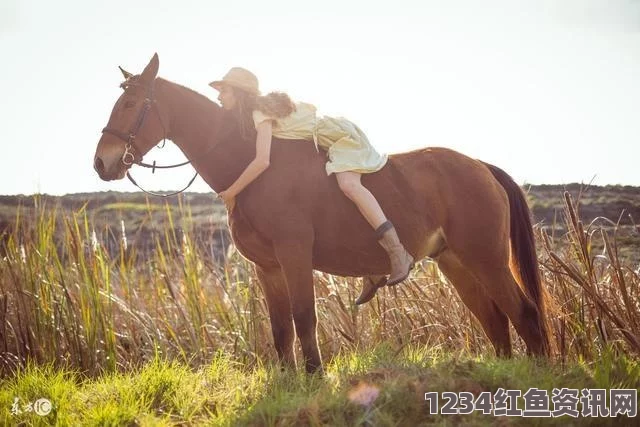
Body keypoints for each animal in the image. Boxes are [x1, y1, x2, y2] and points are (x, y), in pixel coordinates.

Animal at [94, 54, 552, 374]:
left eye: (131, 102)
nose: (102, 162)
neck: (252, 165)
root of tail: (480, 166)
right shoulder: (268, 268)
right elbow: (281, 328)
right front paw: (289, 380)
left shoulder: (294, 255)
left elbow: (303, 318)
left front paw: (315, 377)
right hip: (455, 262)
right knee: (495, 319)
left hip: (486, 259)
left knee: (524, 314)